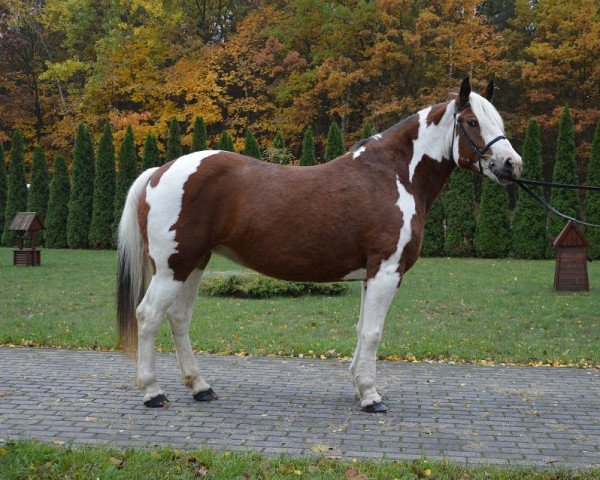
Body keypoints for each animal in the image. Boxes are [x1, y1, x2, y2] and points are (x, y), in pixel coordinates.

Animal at [116, 76, 520, 412]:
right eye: (472, 122)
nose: (512, 165)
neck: (393, 176)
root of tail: (159, 172)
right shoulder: (387, 271)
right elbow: (373, 333)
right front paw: (371, 397)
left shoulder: (371, 275)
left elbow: (361, 329)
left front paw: (359, 387)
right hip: (173, 268)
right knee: (148, 315)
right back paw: (153, 393)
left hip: (193, 264)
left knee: (179, 318)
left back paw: (201, 387)